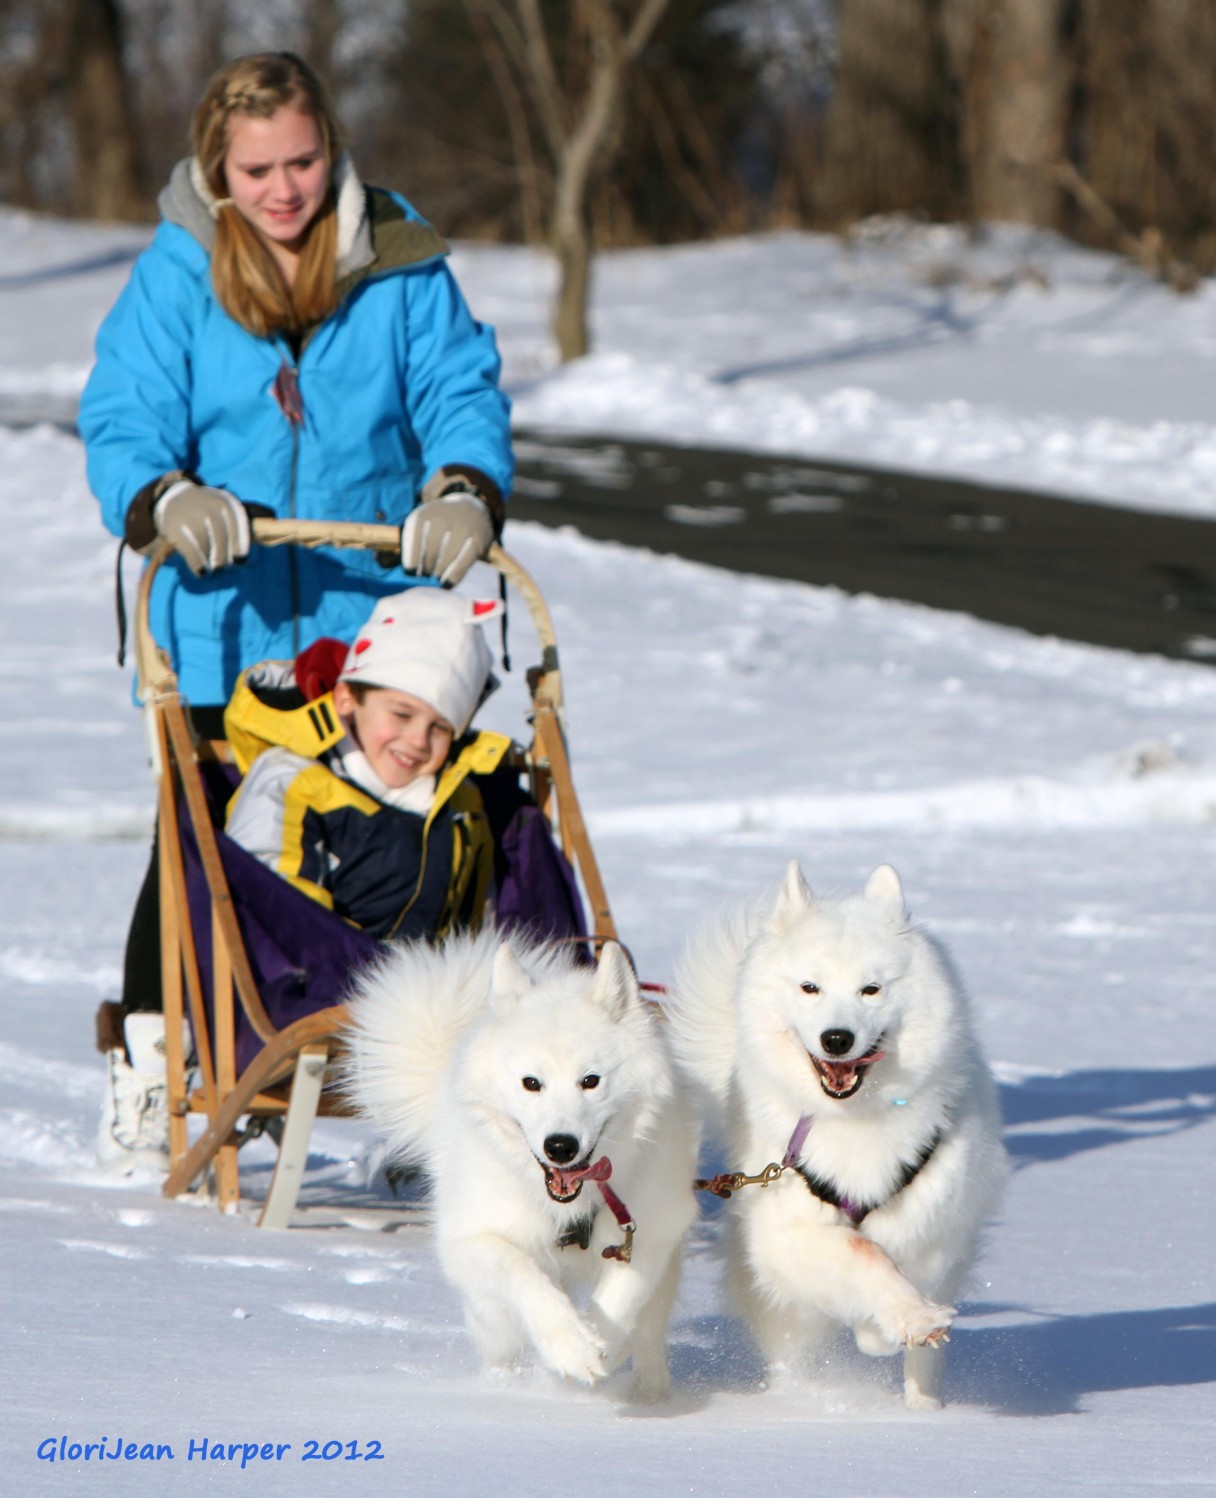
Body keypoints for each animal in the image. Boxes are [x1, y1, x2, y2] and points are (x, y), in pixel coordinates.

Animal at [341, 928, 703, 1396]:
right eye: (531, 1083)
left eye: (591, 1080)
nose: (561, 1147)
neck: (568, 1209)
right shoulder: (474, 1239)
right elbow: (523, 1276)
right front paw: (573, 1349)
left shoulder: (650, 1233)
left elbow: (621, 1301)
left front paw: (602, 1346)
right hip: (491, 1316)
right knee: (503, 1342)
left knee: (650, 1337)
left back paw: (651, 1393)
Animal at [664, 862, 1006, 1408]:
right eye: (811, 988)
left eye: (871, 989)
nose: (837, 1039)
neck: (854, 1119)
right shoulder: (786, 1231)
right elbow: (862, 1256)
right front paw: (900, 1318)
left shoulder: (936, 1217)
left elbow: (898, 1264)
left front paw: (905, 1325)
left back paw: (925, 1407)